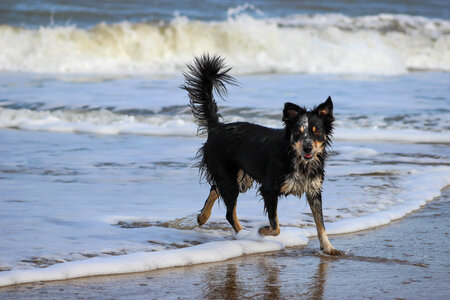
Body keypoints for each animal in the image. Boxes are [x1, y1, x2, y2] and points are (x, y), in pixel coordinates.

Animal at [181, 54, 340, 255]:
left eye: (317, 132)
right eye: (298, 132)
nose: (308, 148)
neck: (295, 157)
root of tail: (217, 127)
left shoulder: (314, 189)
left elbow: (320, 223)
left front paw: (328, 247)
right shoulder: (269, 189)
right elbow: (276, 226)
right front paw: (261, 231)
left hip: (239, 178)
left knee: (215, 189)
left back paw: (203, 216)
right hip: (229, 177)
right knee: (228, 211)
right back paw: (243, 234)